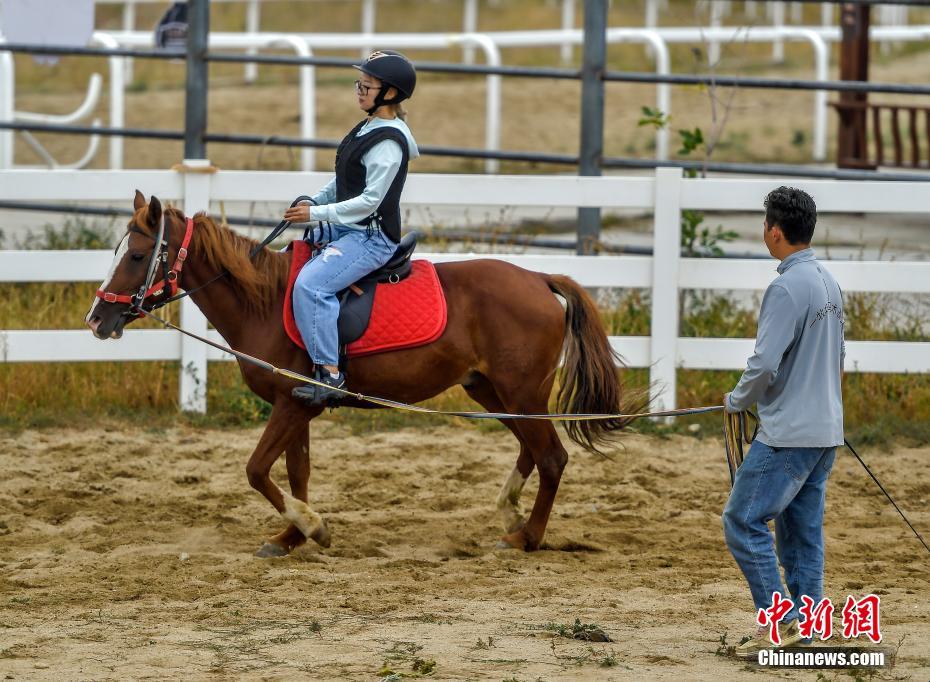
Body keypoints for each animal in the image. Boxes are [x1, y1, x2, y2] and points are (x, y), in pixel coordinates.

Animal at [85, 190, 632, 552]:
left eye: (138, 255)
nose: (96, 319)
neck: (265, 302)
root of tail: (539, 278)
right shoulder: (297, 407)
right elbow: (296, 472)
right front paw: (291, 536)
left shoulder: (291, 406)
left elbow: (257, 470)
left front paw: (312, 527)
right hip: (492, 392)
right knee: (532, 450)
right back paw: (510, 513)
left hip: (520, 392)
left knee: (553, 458)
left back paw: (528, 537)